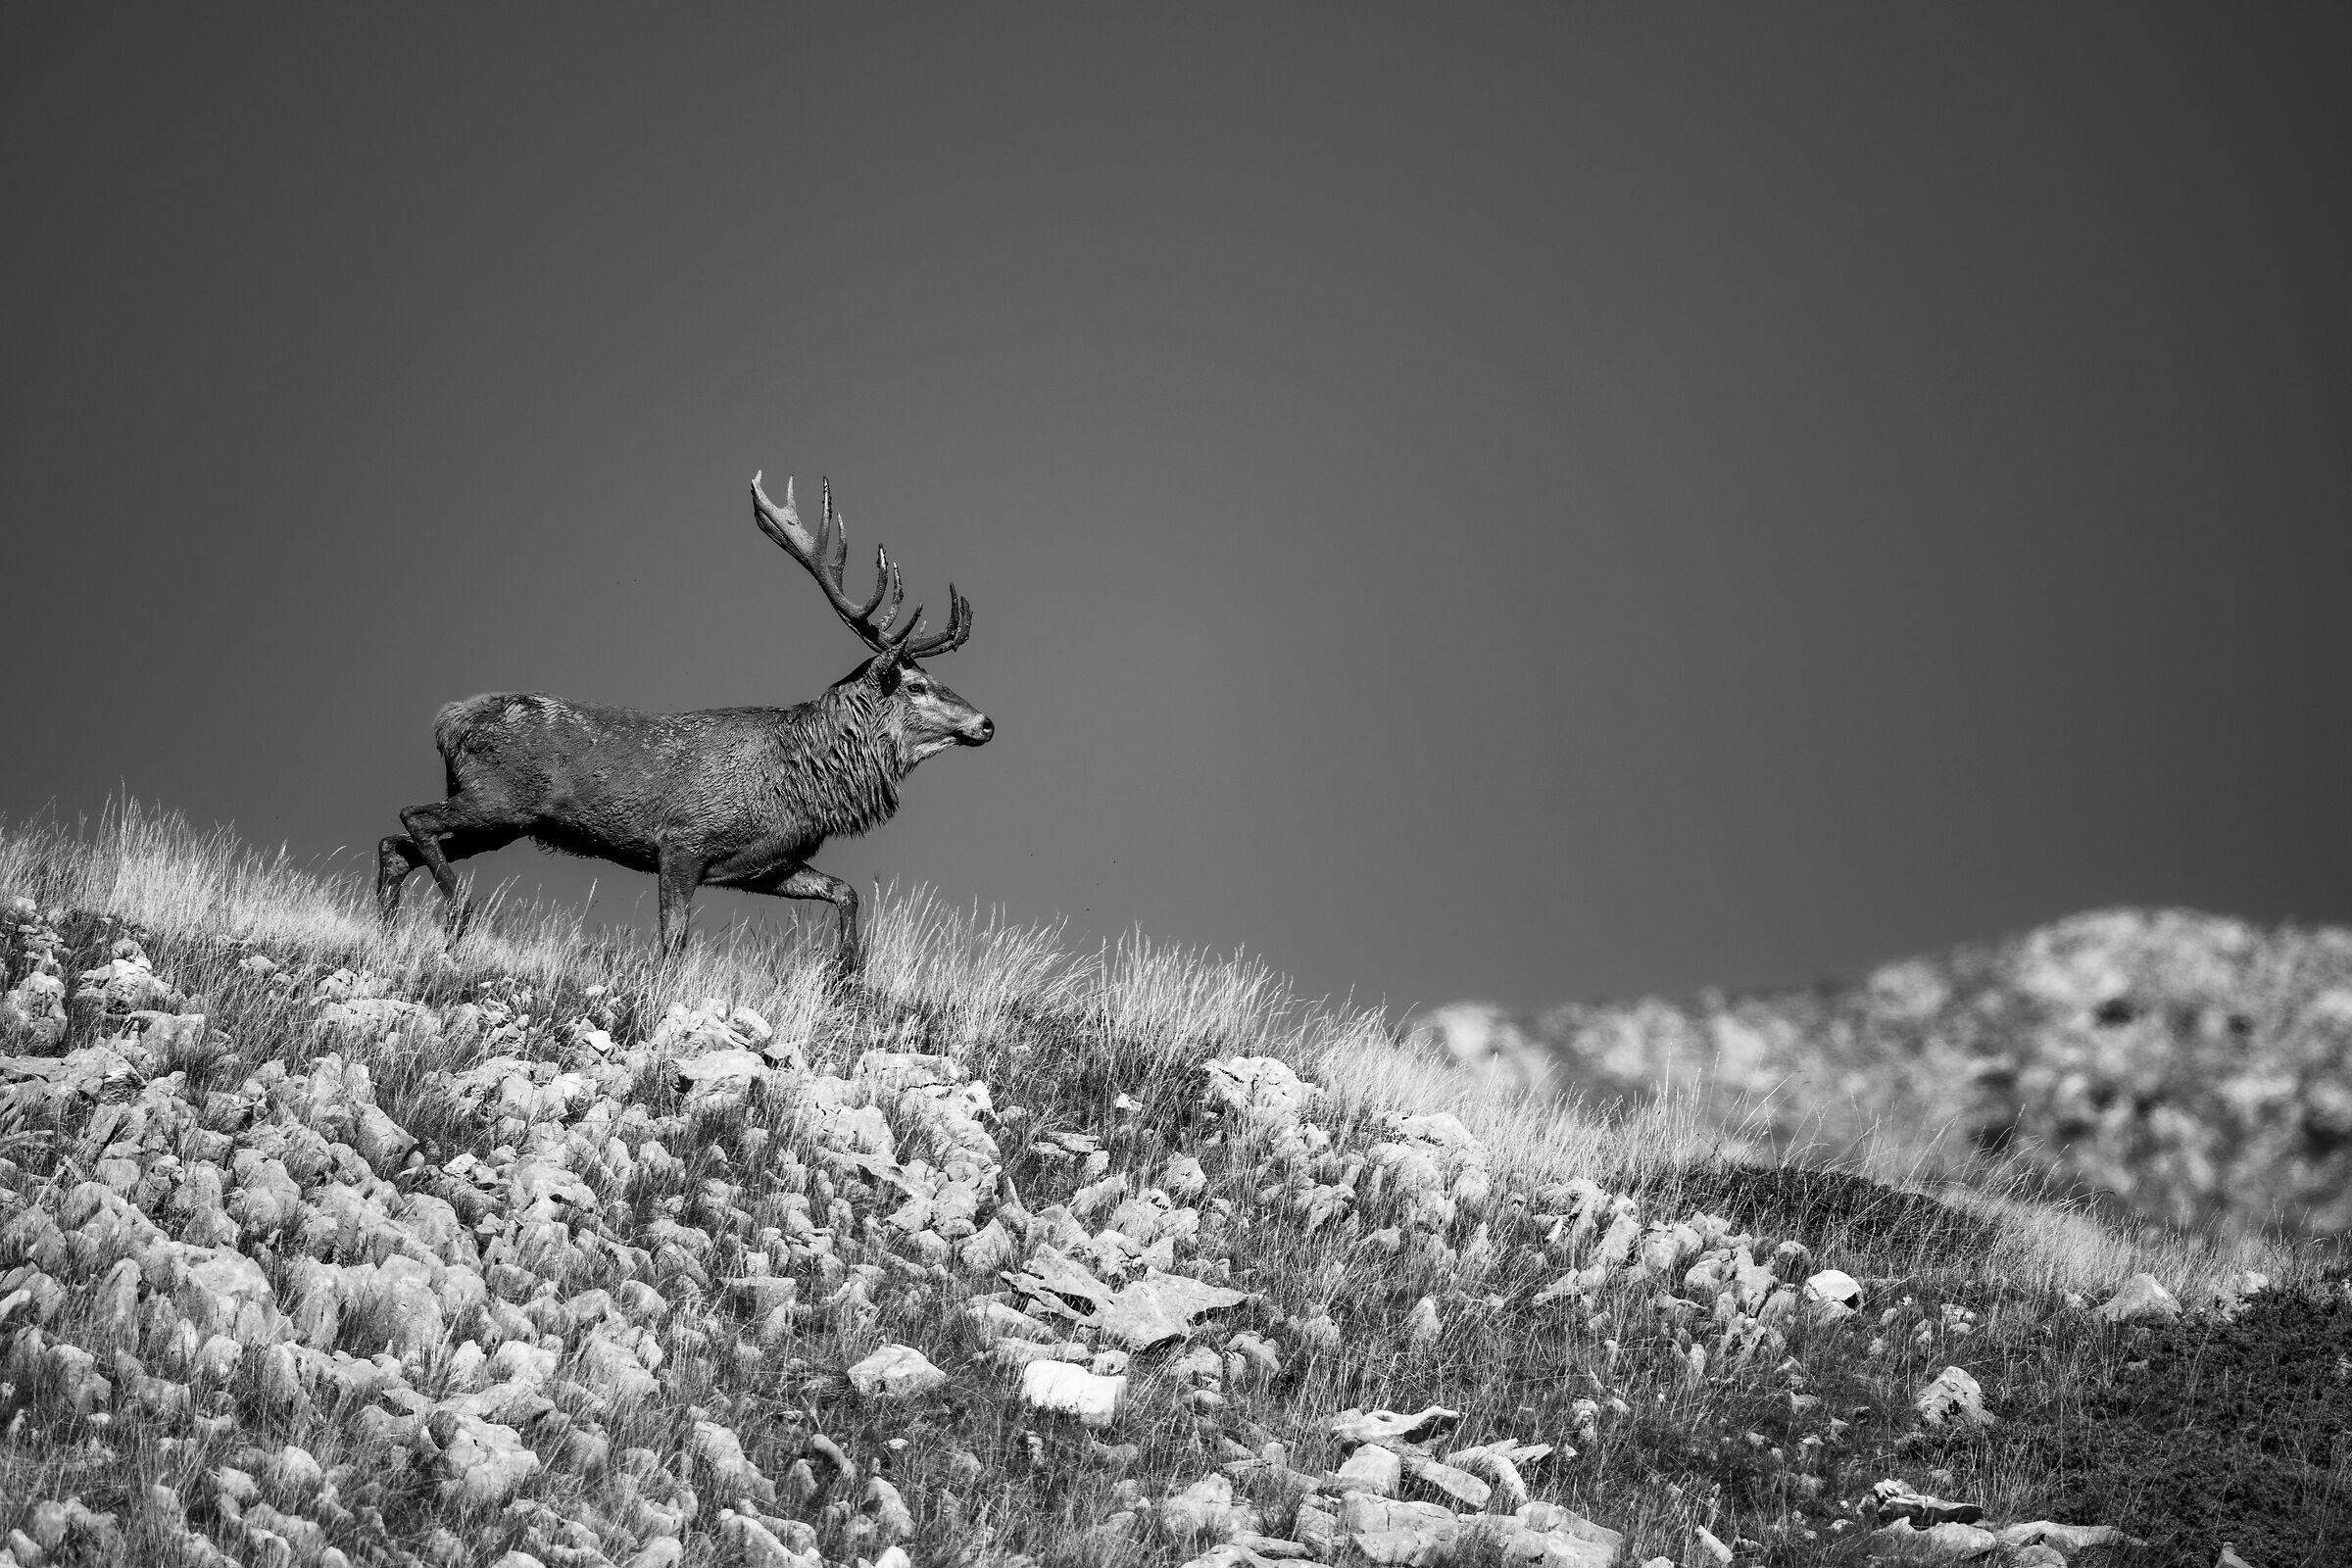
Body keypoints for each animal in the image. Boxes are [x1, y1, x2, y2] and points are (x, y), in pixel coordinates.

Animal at [376, 471, 993, 976]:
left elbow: (845, 890)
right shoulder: (680, 844)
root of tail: (448, 721)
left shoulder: (763, 864)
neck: (796, 778)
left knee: (395, 845)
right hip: (498, 797)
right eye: (915, 686)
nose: (985, 723)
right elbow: (672, 945)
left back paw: (390, 933)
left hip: (502, 822)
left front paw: (846, 973)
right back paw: (459, 914)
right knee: (412, 817)